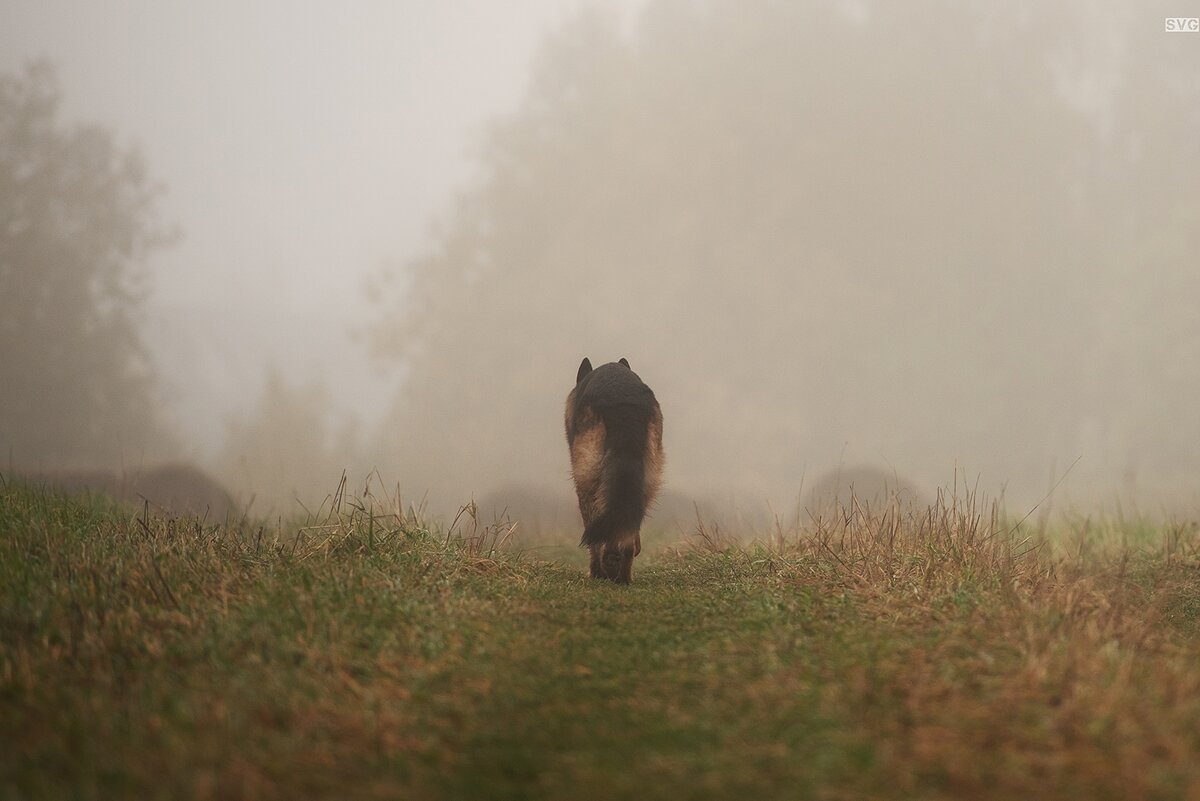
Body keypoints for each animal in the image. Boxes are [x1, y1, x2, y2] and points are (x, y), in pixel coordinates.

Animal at [564, 357, 667, 582]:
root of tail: (623, 400)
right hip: (647, 480)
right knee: (627, 531)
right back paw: (623, 575)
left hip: (588, 478)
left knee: (595, 536)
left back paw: (601, 568)